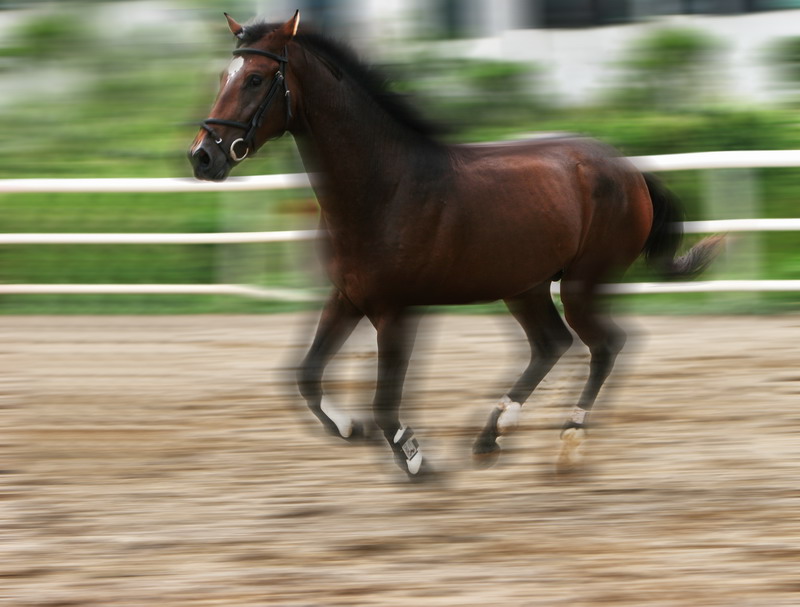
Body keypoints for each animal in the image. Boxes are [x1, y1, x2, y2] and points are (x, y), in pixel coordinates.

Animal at [191, 11, 720, 482]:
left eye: (256, 78)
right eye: (224, 75)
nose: (203, 156)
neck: (385, 187)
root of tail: (629, 169)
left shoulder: (395, 310)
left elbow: (384, 402)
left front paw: (414, 459)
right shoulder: (347, 298)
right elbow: (305, 376)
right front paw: (348, 429)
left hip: (582, 283)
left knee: (606, 344)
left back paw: (568, 442)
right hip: (524, 286)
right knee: (552, 344)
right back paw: (491, 437)